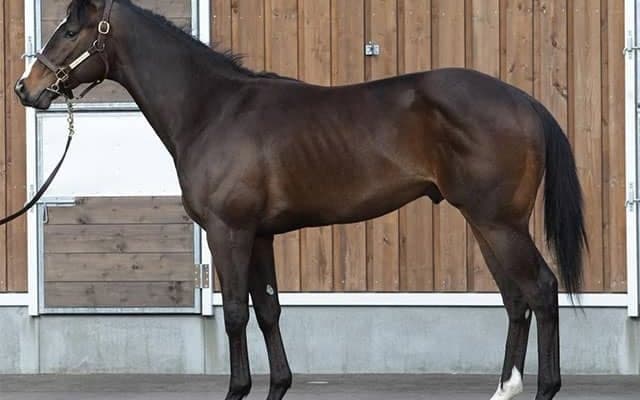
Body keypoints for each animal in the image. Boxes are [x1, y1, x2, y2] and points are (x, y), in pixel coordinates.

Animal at [15, 1, 586, 399]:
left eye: (70, 31)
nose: (26, 88)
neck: (213, 109)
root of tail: (525, 101)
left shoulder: (228, 233)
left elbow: (236, 315)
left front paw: (237, 389)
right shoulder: (260, 235)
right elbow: (269, 311)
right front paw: (278, 384)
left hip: (498, 223)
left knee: (540, 290)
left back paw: (545, 387)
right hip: (485, 223)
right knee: (516, 299)